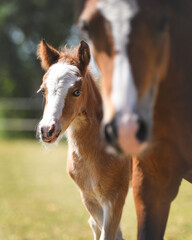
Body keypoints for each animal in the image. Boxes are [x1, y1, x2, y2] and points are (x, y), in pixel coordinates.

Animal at [36, 40, 130, 239]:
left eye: (77, 91)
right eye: (43, 91)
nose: (47, 130)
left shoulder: (115, 196)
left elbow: (109, 234)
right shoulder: (89, 197)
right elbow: (98, 227)